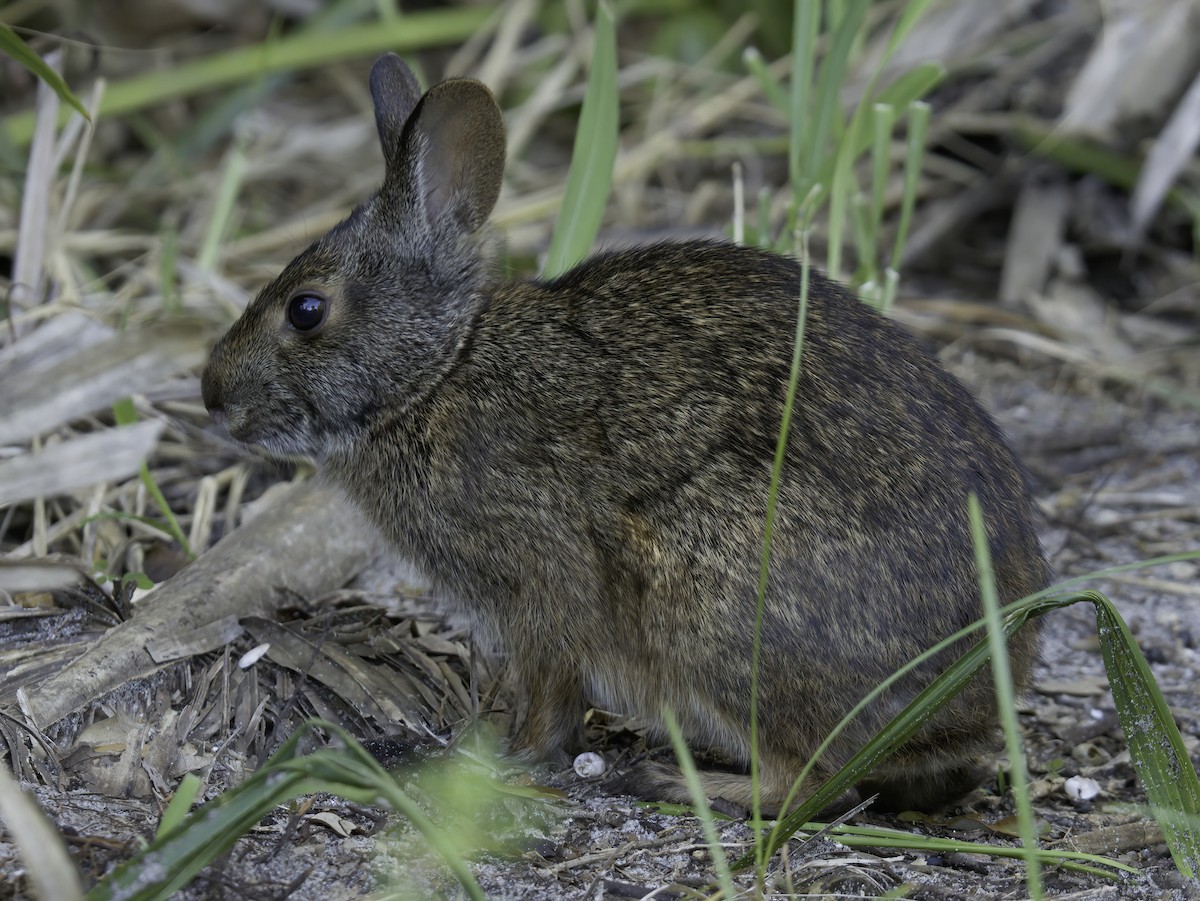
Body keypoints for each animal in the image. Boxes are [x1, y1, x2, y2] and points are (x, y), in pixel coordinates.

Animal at [202, 53, 1049, 816]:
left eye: (306, 310)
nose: (213, 396)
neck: (439, 371)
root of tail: (973, 699)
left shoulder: (541, 579)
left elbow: (549, 691)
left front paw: (499, 755)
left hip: (719, 614)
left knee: (811, 781)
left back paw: (675, 780)